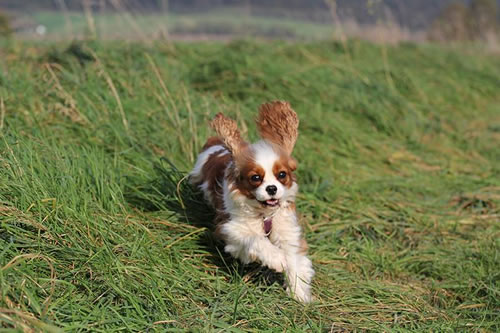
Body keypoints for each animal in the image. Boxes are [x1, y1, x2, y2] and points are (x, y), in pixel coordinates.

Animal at [189, 100, 314, 300]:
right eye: (255, 178)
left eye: (282, 175)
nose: (271, 188)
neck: (265, 214)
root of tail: (217, 144)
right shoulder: (229, 228)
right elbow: (255, 239)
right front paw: (278, 259)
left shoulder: (287, 230)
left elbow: (294, 259)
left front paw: (299, 295)